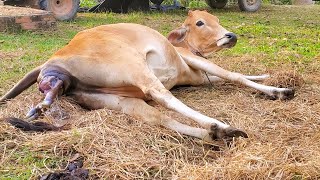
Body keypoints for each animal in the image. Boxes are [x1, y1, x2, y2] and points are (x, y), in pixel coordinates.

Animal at [0, 10, 296, 143]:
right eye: (200, 22)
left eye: (216, 19)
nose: (230, 36)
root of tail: (53, 63)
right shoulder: (193, 60)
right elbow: (232, 75)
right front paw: (279, 90)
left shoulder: (199, 75)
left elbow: (232, 76)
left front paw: (265, 76)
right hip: (134, 67)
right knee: (162, 97)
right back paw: (219, 125)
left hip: (113, 99)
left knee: (157, 117)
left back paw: (217, 133)